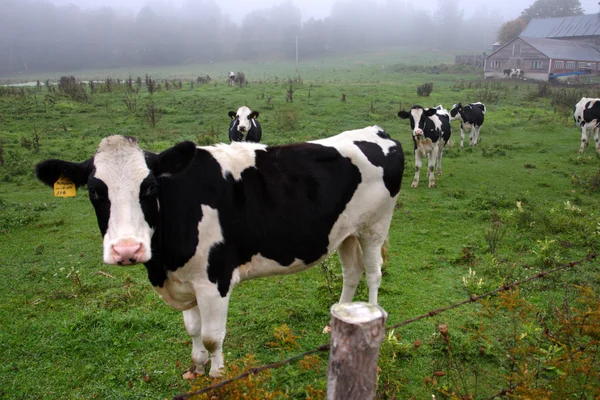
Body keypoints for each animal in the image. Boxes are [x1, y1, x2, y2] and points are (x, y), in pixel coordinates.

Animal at [32, 127, 404, 378]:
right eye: (95, 191)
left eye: (149, 186)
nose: (127, 249)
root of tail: (377, 132)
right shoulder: (186, 280)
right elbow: (192, 331)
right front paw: (195, 370)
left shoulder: (214, 280)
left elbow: (212, 337)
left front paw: (217, 375)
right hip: (345, 232)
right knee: (351, 272)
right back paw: (336, 321)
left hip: (375, 226)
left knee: (373, 272)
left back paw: (372, 319)